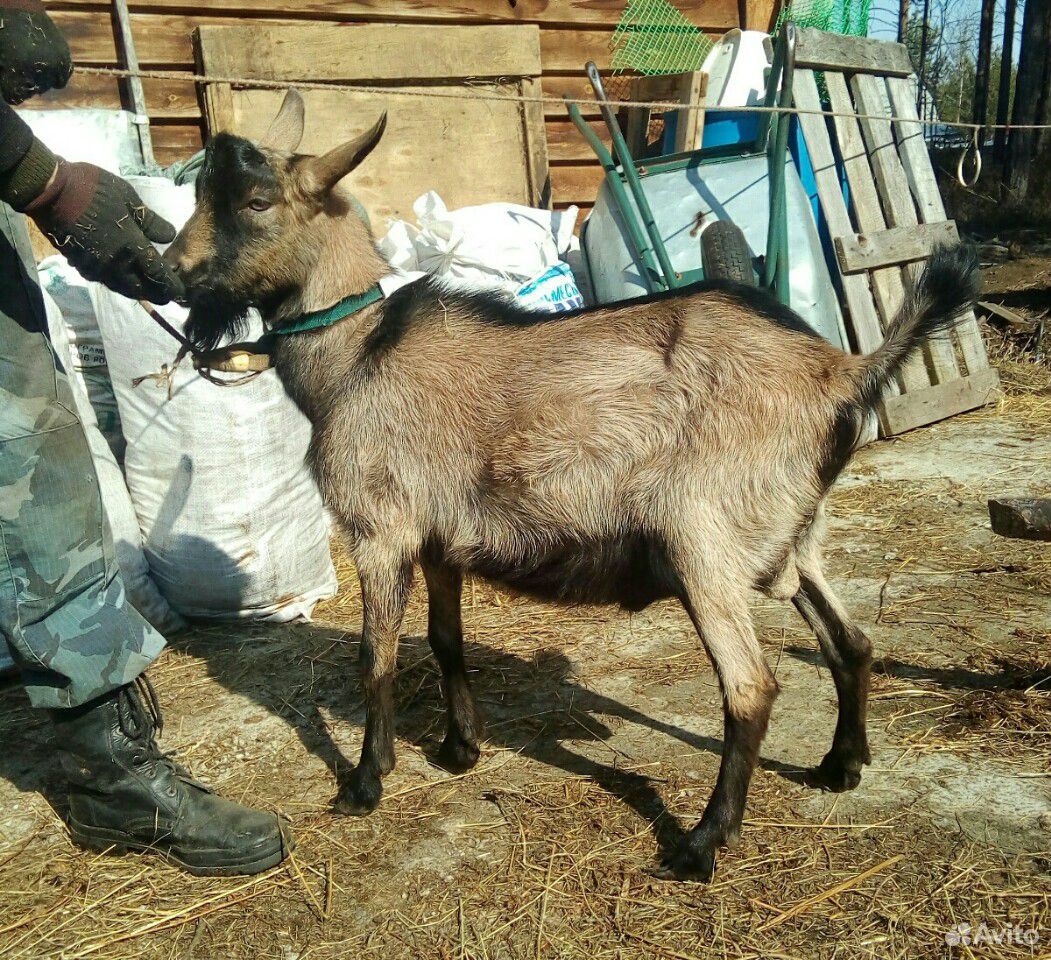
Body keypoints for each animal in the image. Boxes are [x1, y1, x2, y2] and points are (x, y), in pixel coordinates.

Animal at [161, 87, 975, 874]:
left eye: (255, 201)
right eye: (202, 190)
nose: (170, 271)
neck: (357, 353)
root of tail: (842, 373)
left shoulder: (379, 529)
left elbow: (376, 657)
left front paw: (365, 781)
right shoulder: (439, 537)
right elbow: (445, 640)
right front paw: (460, 748)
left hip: (703, 542)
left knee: (751, 687)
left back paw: (701, 843)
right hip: (790, 537)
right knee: (851, 641)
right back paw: (841, 765)